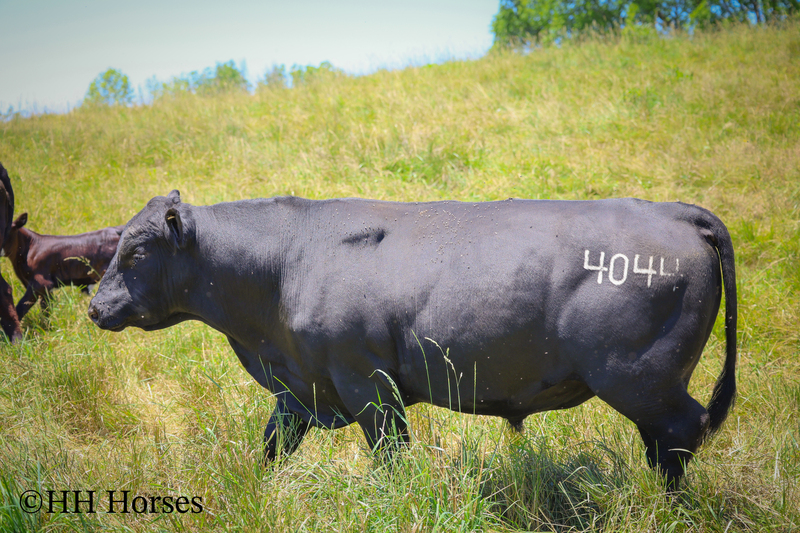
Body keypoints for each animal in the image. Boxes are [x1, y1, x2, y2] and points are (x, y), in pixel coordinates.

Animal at [88, 191, 737, 489]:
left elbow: (389, 455)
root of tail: (674, 212)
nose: (95, 305)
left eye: (137, 250)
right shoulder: (301, 391)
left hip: (640, 378)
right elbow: (272, 447)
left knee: (681, 432)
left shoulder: (367, 385)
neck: (286, 263)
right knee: (666, 441)